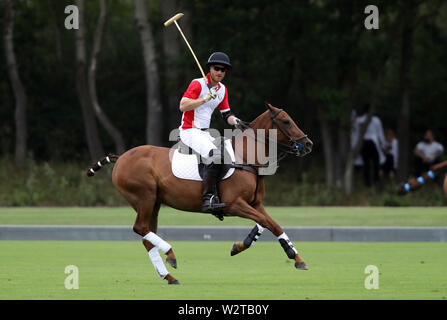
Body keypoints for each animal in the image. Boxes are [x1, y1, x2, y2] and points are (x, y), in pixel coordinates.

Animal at [86, 102, 312, 282]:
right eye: (286, 121)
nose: (308, 144)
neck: (246, 158)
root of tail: (122, 157)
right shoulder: (234, 204)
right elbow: (266, 222)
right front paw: (289, 254)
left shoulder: (255, 203)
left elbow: (271, 224)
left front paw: (296, 257)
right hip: (144, 197)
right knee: (140, 228)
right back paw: (171, 255)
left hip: (153, 203)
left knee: (146, 235)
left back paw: (169, 276)